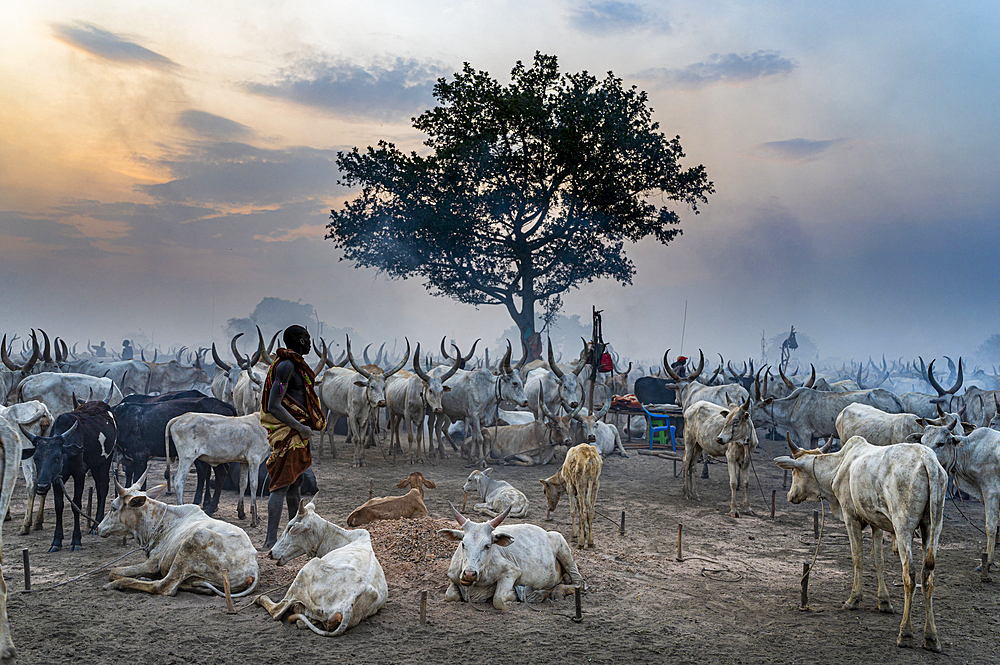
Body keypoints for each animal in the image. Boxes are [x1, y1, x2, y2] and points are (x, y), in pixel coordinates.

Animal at [20, 400, 116, 548]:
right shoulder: (56, 478)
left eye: (57, 457)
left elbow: (75, 504)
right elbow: (58, 505)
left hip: (106, 460)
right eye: (35, 458)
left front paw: (76, 540)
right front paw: (56, 541)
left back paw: (95, 526)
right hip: (95, 464)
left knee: (103, 487)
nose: (41, 486)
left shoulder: (79, 473)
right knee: (99, 488)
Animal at [96, 478, 260, 596]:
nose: (97, 528)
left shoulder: (153, 563)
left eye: (113, 508)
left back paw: (118, 584)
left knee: (165, 587)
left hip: (192, 543)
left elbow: (114, 571)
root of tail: (253, 568)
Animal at [254, 498, 386, 632]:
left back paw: (260, 598)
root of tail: (347, 605)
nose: (271, 553)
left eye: (290, 527)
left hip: (307, 570)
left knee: (278, 611)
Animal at [440, 500, 584, 608]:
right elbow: (450, 595)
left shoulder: (512, 571)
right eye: (463, 544)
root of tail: (547, 532)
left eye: (487, 546)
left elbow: (498, 599)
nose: (469, 574)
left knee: (579, 583)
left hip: (563, 548)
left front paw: (515, 595)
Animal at [776, 434, 948, 652]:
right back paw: (931, 637)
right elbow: (878, 560)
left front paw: (853, 599)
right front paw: (884, 601)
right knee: (928, 576)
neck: (838, 466)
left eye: (794, 471)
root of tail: (929, 460)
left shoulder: (851, 517)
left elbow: (857, 557)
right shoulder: (876, 522)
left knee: (909, 575)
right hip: (932, 527)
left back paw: (905, 633)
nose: (790, 496)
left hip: (903, 526)